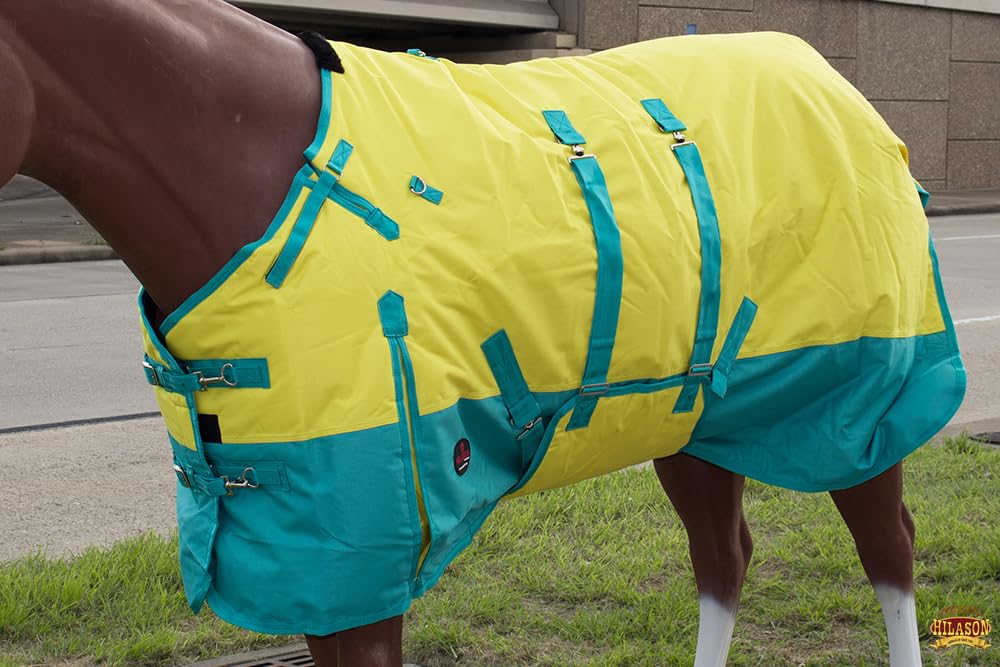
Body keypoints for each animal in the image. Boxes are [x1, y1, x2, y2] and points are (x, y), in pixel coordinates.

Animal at [0, 1, 965, 665]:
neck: (265, 167)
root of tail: (843, 91)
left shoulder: (365, 558)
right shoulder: (304, 562)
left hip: (857, 404)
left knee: (890, 549)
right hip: (695, 419)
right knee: (725, 557)